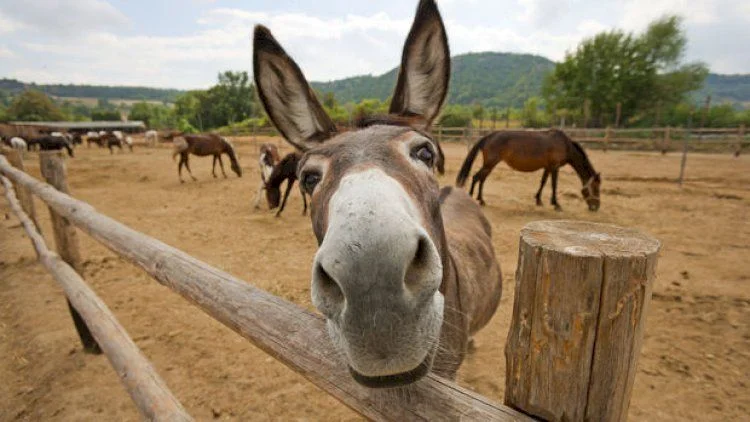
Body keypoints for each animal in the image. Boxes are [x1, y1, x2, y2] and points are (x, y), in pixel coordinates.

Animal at [456, 129, 604, 211]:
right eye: (596, 188)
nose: (596, 207)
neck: (565, 144)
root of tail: (489, 136)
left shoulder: (548, 167)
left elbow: (543, 182)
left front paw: (538, 200)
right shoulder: (554, 167)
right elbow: (554, 185)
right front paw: (556, 204)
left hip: (490, 165)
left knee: (482, 179)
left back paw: (481, 200)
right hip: (490, 164)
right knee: (476, 177)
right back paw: (472, 198)